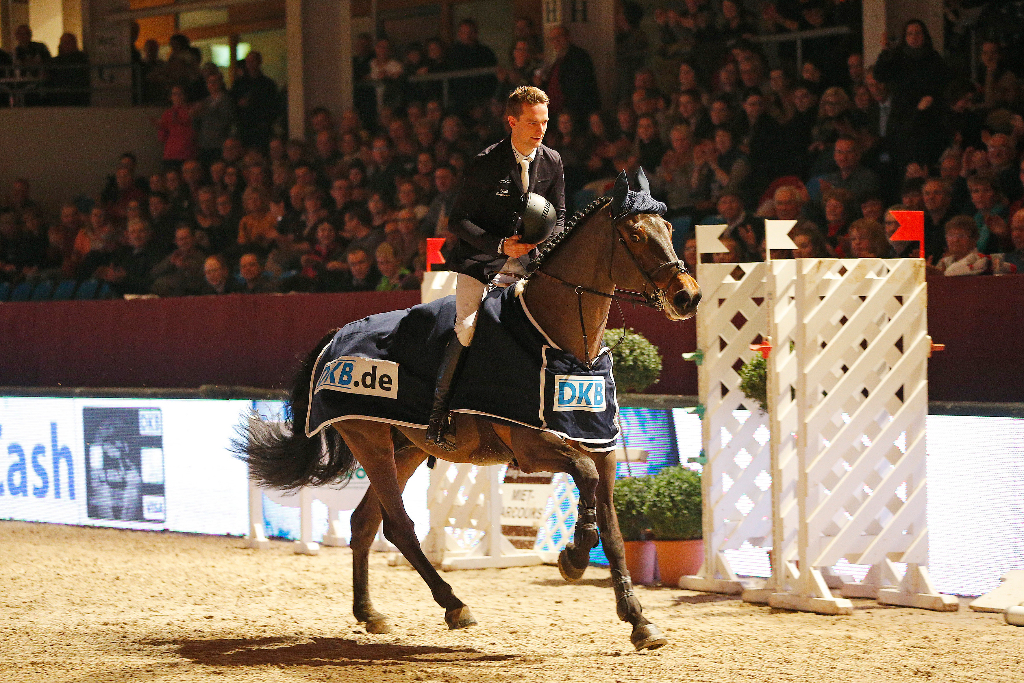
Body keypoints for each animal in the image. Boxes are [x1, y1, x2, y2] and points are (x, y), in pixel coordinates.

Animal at [240, 172, 704, 651]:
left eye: (670, 229)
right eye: (636, 236)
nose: (688, 297)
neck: (563, 343)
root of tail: (336, 336)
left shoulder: (602, 448)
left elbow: (612, 530)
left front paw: (639, 620)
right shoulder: (533, 449)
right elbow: (585, 481)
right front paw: (573, 558)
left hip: (405, 447)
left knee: (365, 521)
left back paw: (370, 613)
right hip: (369, 440)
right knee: (398, 526)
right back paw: (454, 605)